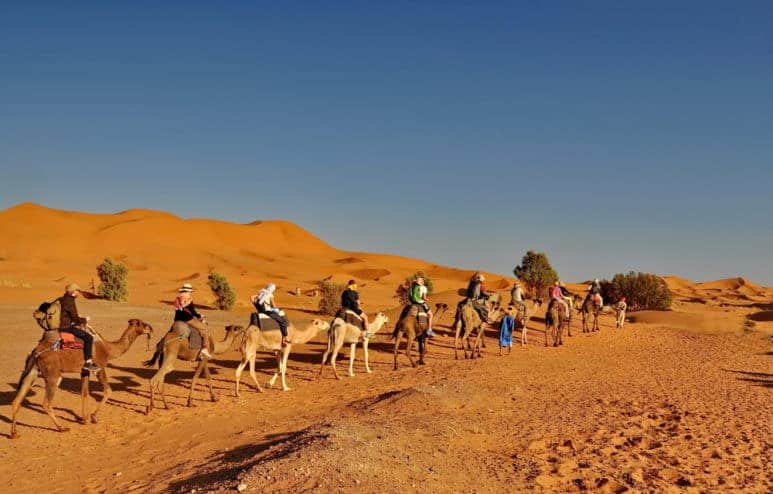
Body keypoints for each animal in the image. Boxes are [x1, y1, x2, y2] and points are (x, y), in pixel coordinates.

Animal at [11, 320, 154, 440]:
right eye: (142, 324)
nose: (151, 329)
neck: (107, 348)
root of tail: (36, 352)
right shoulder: (99, 367)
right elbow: (108, 391)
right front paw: (94, 417)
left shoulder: (84, 371)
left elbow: (84, 393)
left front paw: (84, 418)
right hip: (53, 375)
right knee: (46, 403)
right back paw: (62, 428)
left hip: (33, 371)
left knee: (17, 401)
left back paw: (14, 433)